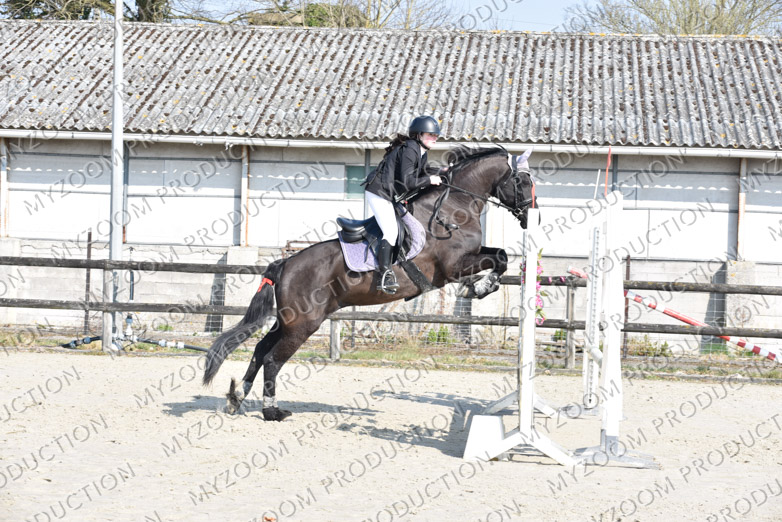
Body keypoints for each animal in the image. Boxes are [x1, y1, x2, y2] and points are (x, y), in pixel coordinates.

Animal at [202, 145, 538, 421]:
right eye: (524, 181)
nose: (531, 216)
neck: (452, 206)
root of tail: (284, 264)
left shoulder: (469, 257)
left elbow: (500, 254)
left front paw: (481, 287)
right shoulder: (452, 266)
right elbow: (500, 258)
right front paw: (479, 287)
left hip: (288, 321)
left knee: (260, 350)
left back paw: (237, 398)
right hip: (303, 324)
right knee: (272, 359)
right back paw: (272, 412)